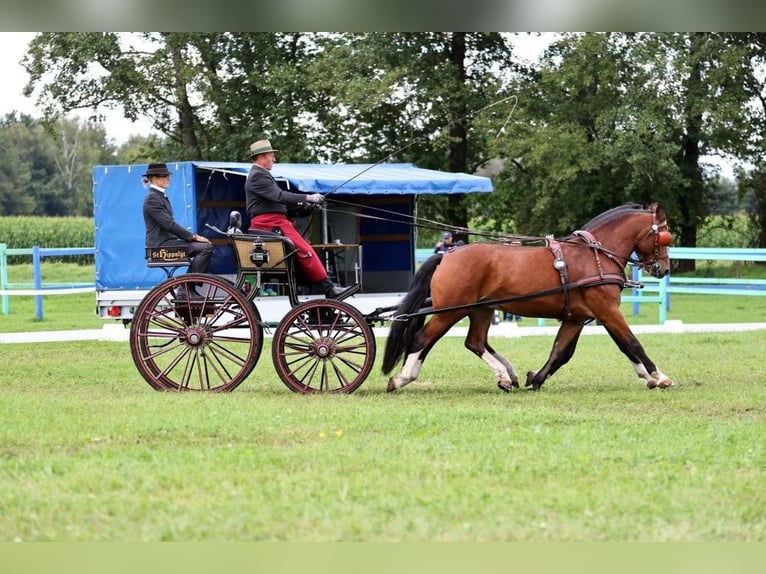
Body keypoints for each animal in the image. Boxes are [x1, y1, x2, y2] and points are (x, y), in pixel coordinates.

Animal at [381, 202, 674, 393]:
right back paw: (402, 378)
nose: (664, 269)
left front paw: (536, 378)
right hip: (451, 311)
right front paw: (659, 376)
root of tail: (448, 254)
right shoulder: (607, 311)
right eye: (664, 235)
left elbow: (562, 352)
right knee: (422, 339)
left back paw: (504, 376)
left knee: (475, 342)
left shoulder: (579, 318)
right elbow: (632, 343)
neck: (595, 256)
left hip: (481, 310)